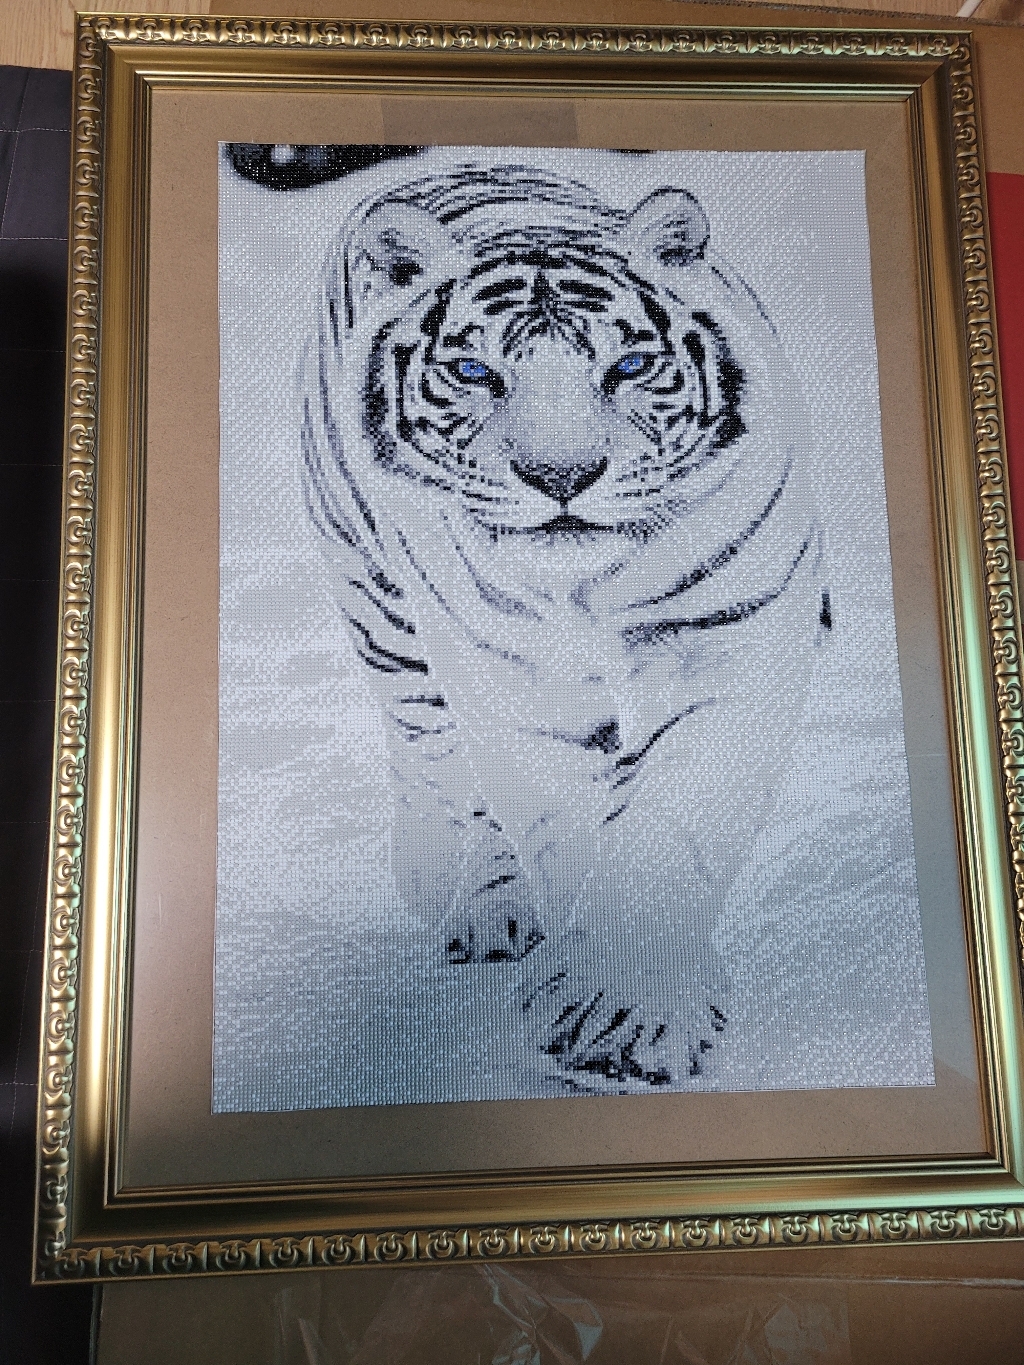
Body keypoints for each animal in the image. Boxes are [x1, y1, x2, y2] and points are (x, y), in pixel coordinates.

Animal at [301, 160, 831, 1094]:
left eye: (629, 366)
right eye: (474, 371)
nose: (561, 476)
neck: (589, 593)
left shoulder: (733, 654)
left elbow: (669, 828)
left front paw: (632, 1015)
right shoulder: (508, 692)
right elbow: (557, 825)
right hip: (380, 608)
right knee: (431, 752)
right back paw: (462, 890)